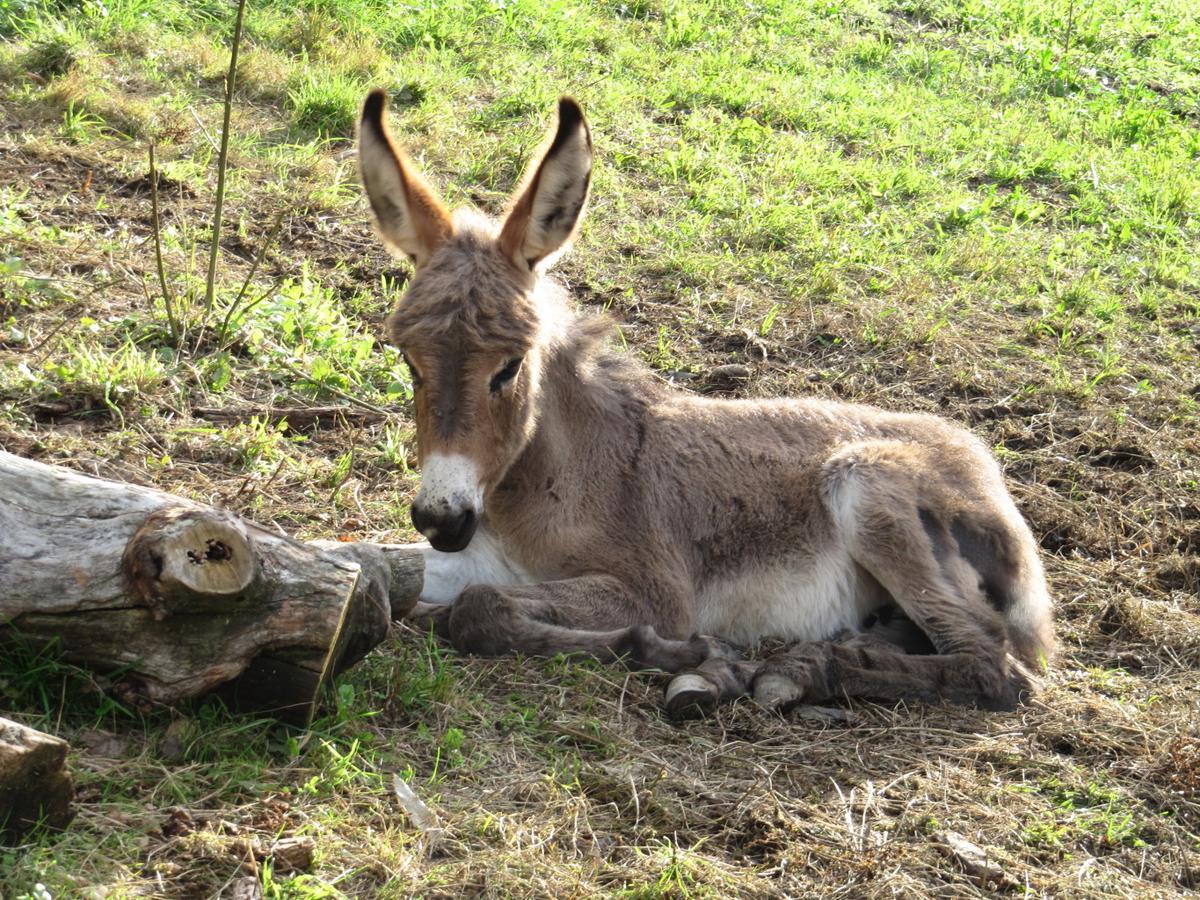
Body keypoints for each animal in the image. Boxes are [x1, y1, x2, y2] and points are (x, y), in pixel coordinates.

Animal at [355, 91, 1051, 724]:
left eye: (509, 367)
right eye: (409, 361)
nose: (441, 519)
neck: (553, 475)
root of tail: (983, 465)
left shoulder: (655, 591)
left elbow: (481, 608)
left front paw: (672, 650)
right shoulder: (480, 556)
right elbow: (380, 562)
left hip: (868, 483)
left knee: (991, 667)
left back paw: (784, 673)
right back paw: (777, 668)